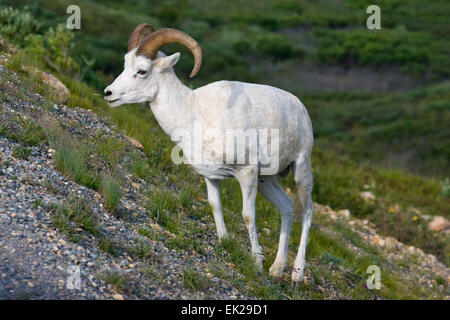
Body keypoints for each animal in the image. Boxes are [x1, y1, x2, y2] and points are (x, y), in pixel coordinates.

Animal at [104, 24, 312, 282]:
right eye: (125, 64)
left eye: (142, 71)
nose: (108, 93)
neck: (191, 113)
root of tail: (300, 107)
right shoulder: (211, 177)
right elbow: (215, 206)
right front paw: (225, 243)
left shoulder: (246, 172)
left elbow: (248, 215)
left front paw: (256, 262)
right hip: (267, 179)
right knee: (287, 208)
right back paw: (276, 269)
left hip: (300, 170)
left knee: (307, 213)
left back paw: (297, 275)